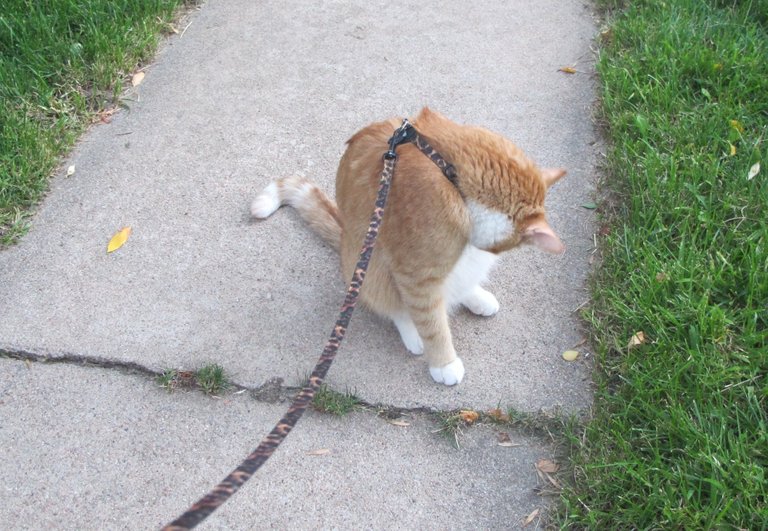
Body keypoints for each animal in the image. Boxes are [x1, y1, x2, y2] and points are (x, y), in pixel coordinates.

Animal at [252, 109, 564, 386]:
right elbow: (432, 323)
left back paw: (476, 297)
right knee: (399, 307)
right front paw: (443, 362)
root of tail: (342, 239)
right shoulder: (416, 276)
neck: (450, 173)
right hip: (369, 267)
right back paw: (414, 334)